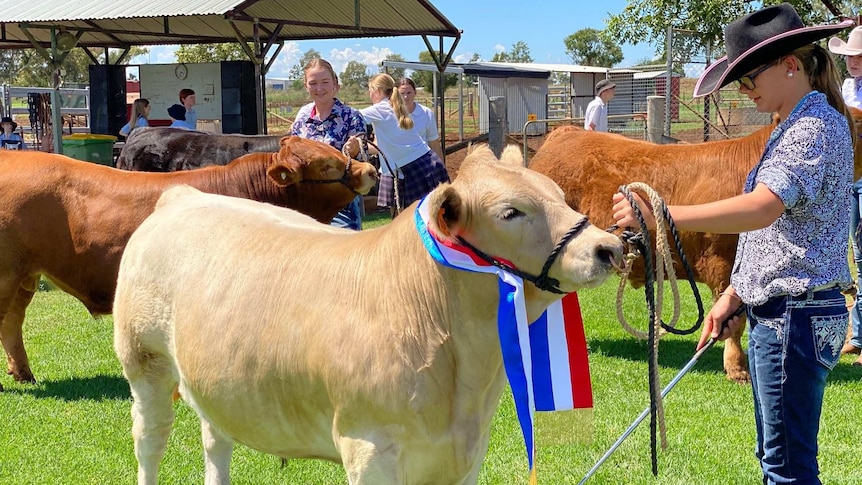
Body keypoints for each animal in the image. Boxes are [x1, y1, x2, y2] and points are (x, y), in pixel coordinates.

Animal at [0, 136, 378, 390]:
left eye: (335, 152)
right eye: (326, 165)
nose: (371, 169)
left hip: (24, 276)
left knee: (12, 322)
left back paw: (23, 374)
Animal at [116, 145, 628, 484]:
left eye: (558, 193)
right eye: (510, 212)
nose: (608, 247)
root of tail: (184, 195)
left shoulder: (466, 451)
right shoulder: (368, 448)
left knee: (215, 438)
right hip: (144, 363)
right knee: (149, 441)